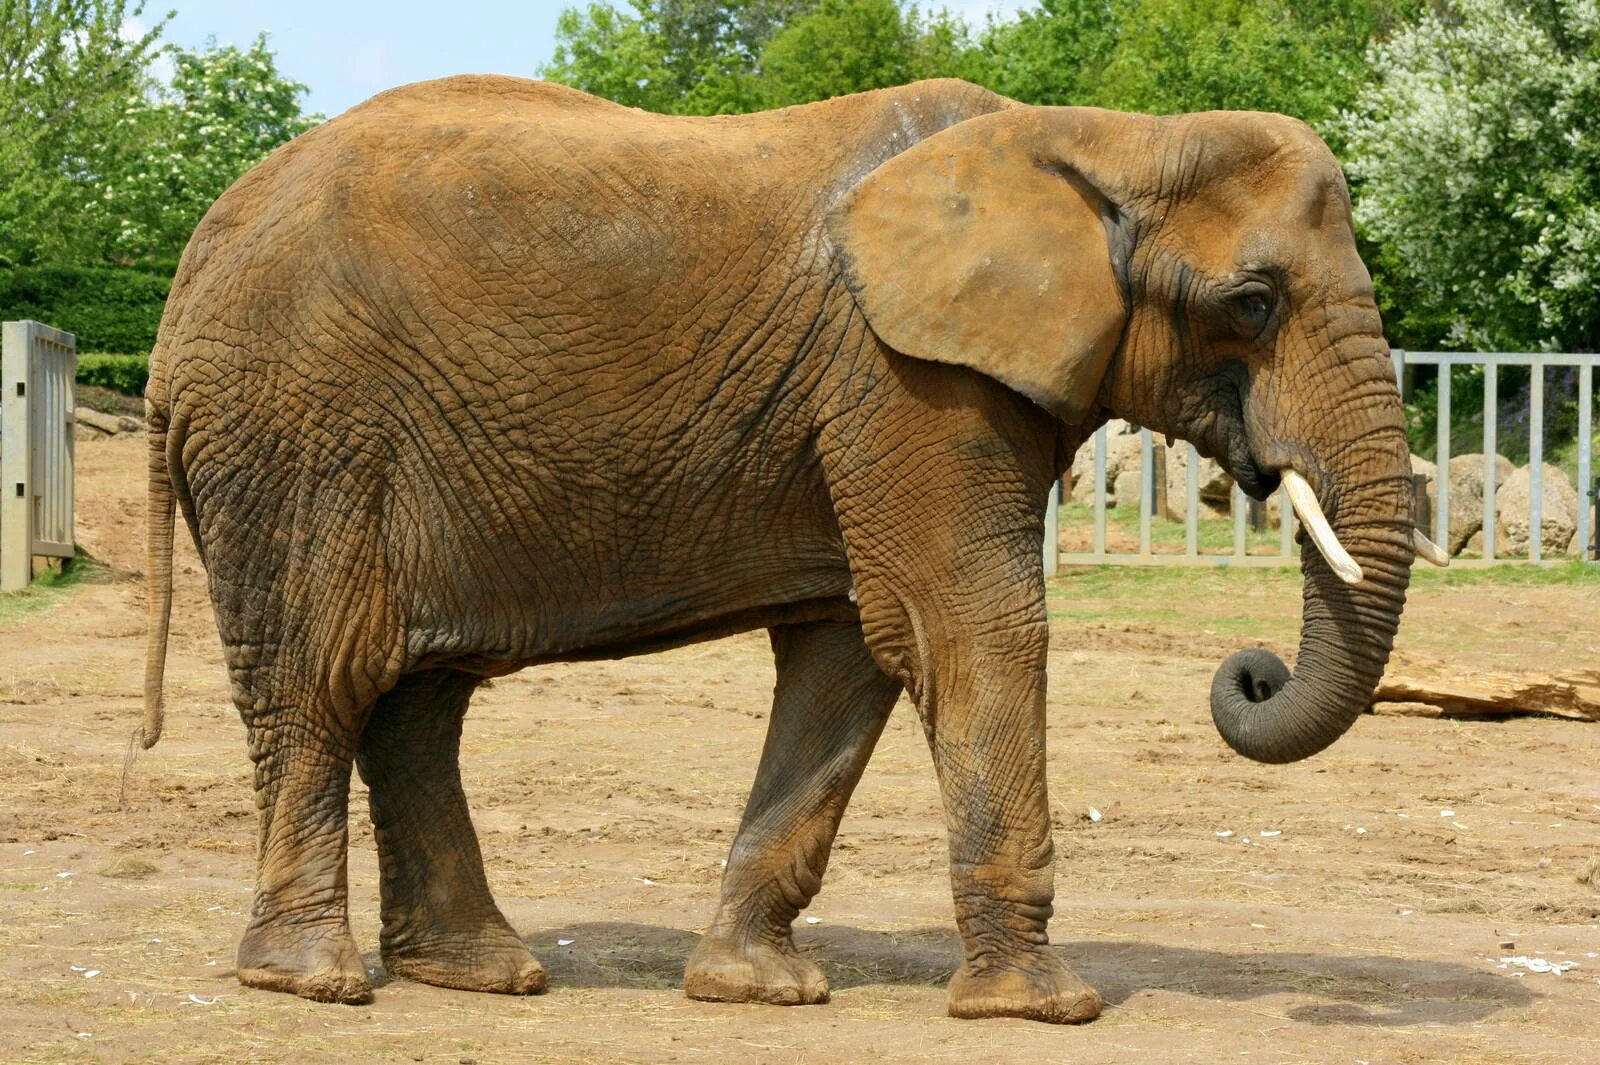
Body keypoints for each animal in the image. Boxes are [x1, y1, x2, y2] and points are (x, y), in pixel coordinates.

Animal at [144, 74, 1433, 1023]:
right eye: (1252, 302)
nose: (1249, 669)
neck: (1107, 138)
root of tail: (187, 275)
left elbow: (847, 660)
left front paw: (754, 991)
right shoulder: (904, 377)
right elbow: (973, 624)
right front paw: (1043, 1007)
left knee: (418, 701)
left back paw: (481, 974)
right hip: (298, 432)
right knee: (324, 678)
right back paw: (313, 982)